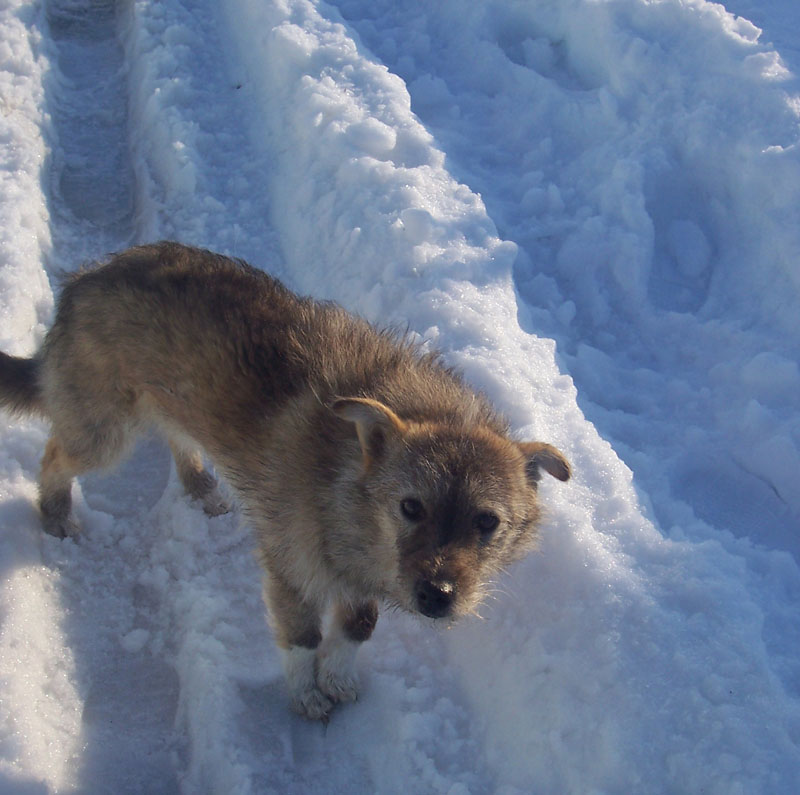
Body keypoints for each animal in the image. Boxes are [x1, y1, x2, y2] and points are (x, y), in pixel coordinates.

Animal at [0, 239, 568, 720]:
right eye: (411, 506)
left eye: (487, 521)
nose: (437, 596)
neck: (348, 482)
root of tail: (83, 279)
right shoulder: (294, 567)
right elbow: (302, 638)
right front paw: (307, 693)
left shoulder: (359, 576)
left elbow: (359, 624)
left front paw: (337, 675)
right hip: (104, 430)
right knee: (54, 457)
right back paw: (57, 516)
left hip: (168, 403)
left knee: (178, 437)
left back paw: (201, 487)